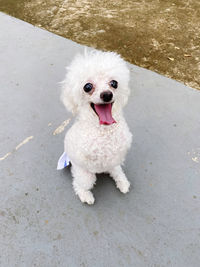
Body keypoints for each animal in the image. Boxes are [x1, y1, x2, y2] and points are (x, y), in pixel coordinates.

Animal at [61, 49, 133, 205]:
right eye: (87, 87)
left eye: (114, 83)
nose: (107, 95)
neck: (104, 130)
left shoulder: (117, 155)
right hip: (85, 175)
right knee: (79, 184)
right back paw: (85, 195)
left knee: (116, 171)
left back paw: (123, 183)